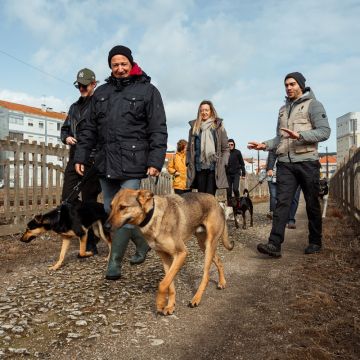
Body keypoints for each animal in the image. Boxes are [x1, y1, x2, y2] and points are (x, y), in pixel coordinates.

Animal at [106, 188, 233, 316]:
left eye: (123, 207)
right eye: (111, 206)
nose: (106, 226)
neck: (153, 216)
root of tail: (216, 201)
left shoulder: (181, 253)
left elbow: (162, 284)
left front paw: (160, 303)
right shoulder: (165, 257)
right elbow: (169, 284)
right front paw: (170, 305)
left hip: (209, 245)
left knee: (206, 276)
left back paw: (196, 298)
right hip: (203, 245)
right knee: (218, 260)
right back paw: (222, 282)